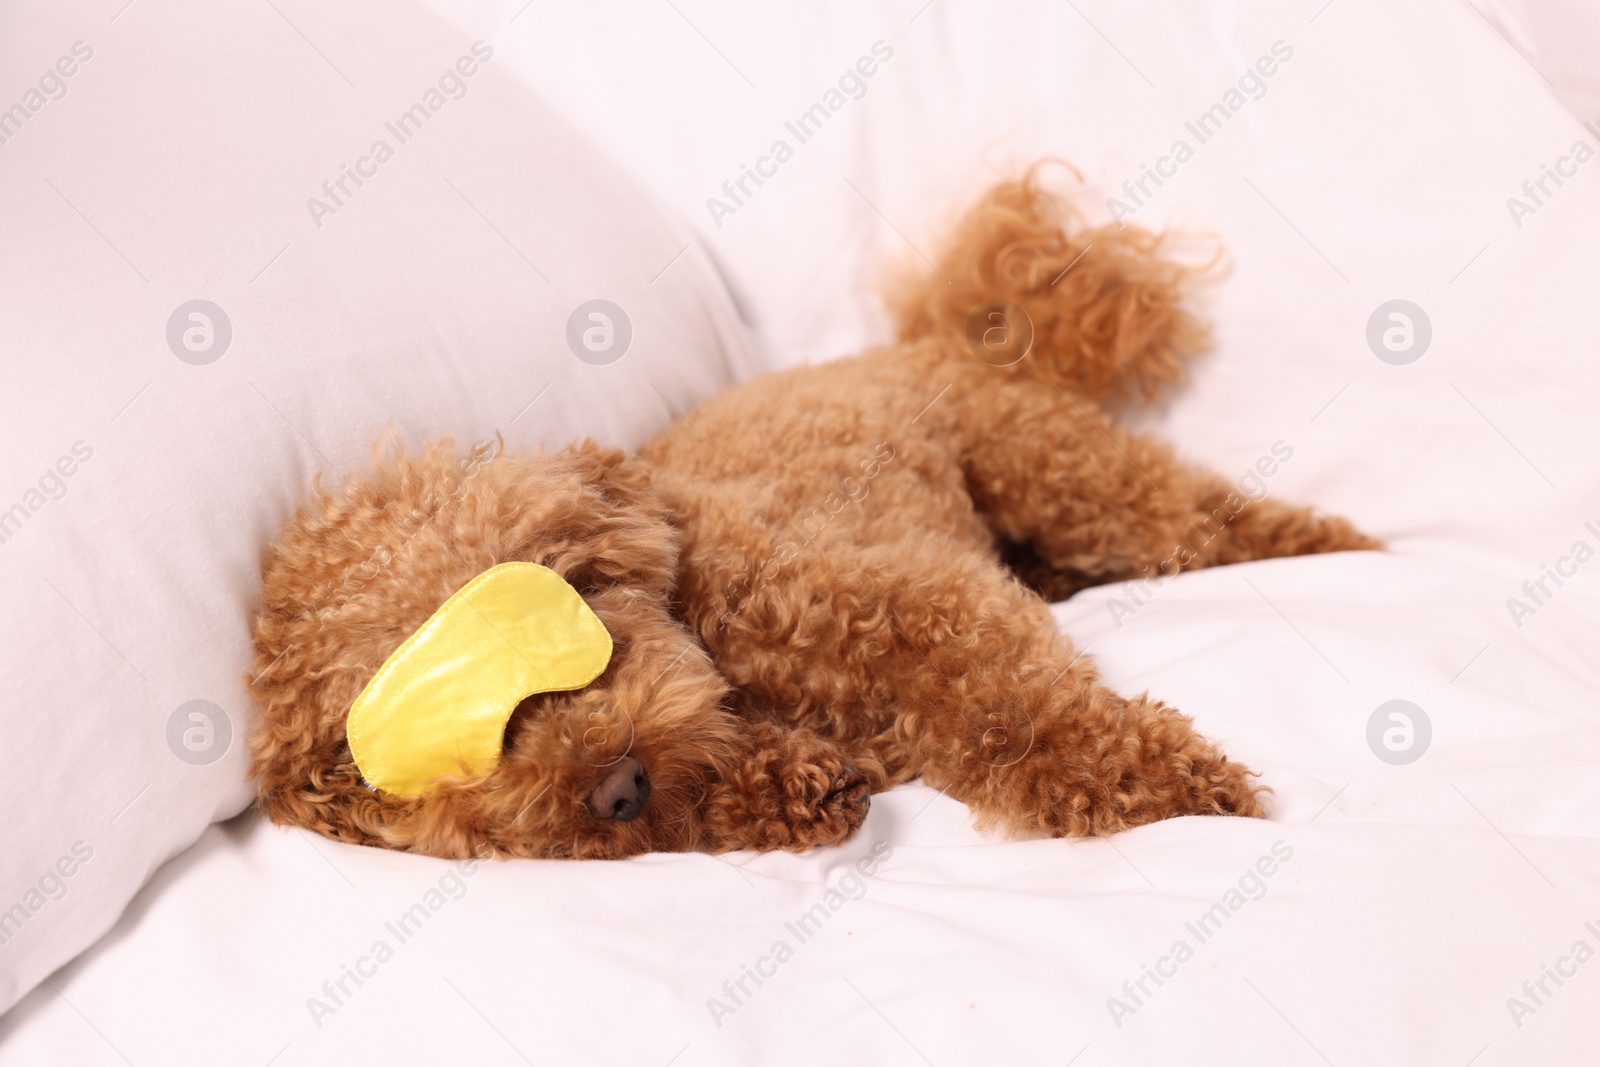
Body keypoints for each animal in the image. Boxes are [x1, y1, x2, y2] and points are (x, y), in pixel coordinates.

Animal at [246, 168, 1376, 870]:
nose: (612, 789)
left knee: (1199, 518)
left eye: (538, 633)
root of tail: (931, 341)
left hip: (1059, 473)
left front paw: (1176, 786)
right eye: (453, 756)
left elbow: (1018, 706)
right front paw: (791, 788)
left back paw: (1347, 545)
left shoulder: (922, 602)